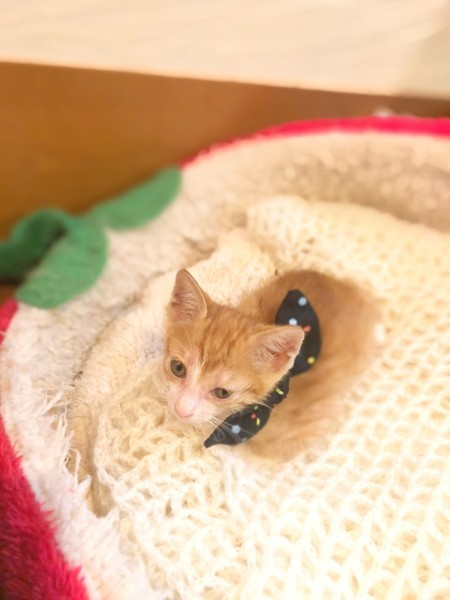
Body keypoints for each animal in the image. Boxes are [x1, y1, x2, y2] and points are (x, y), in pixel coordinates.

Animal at [164, 269, 383, 462]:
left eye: (223, 393)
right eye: (178, 368)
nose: (181, 410)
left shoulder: (307, 429)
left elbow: (254, 454)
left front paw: (216, 447)